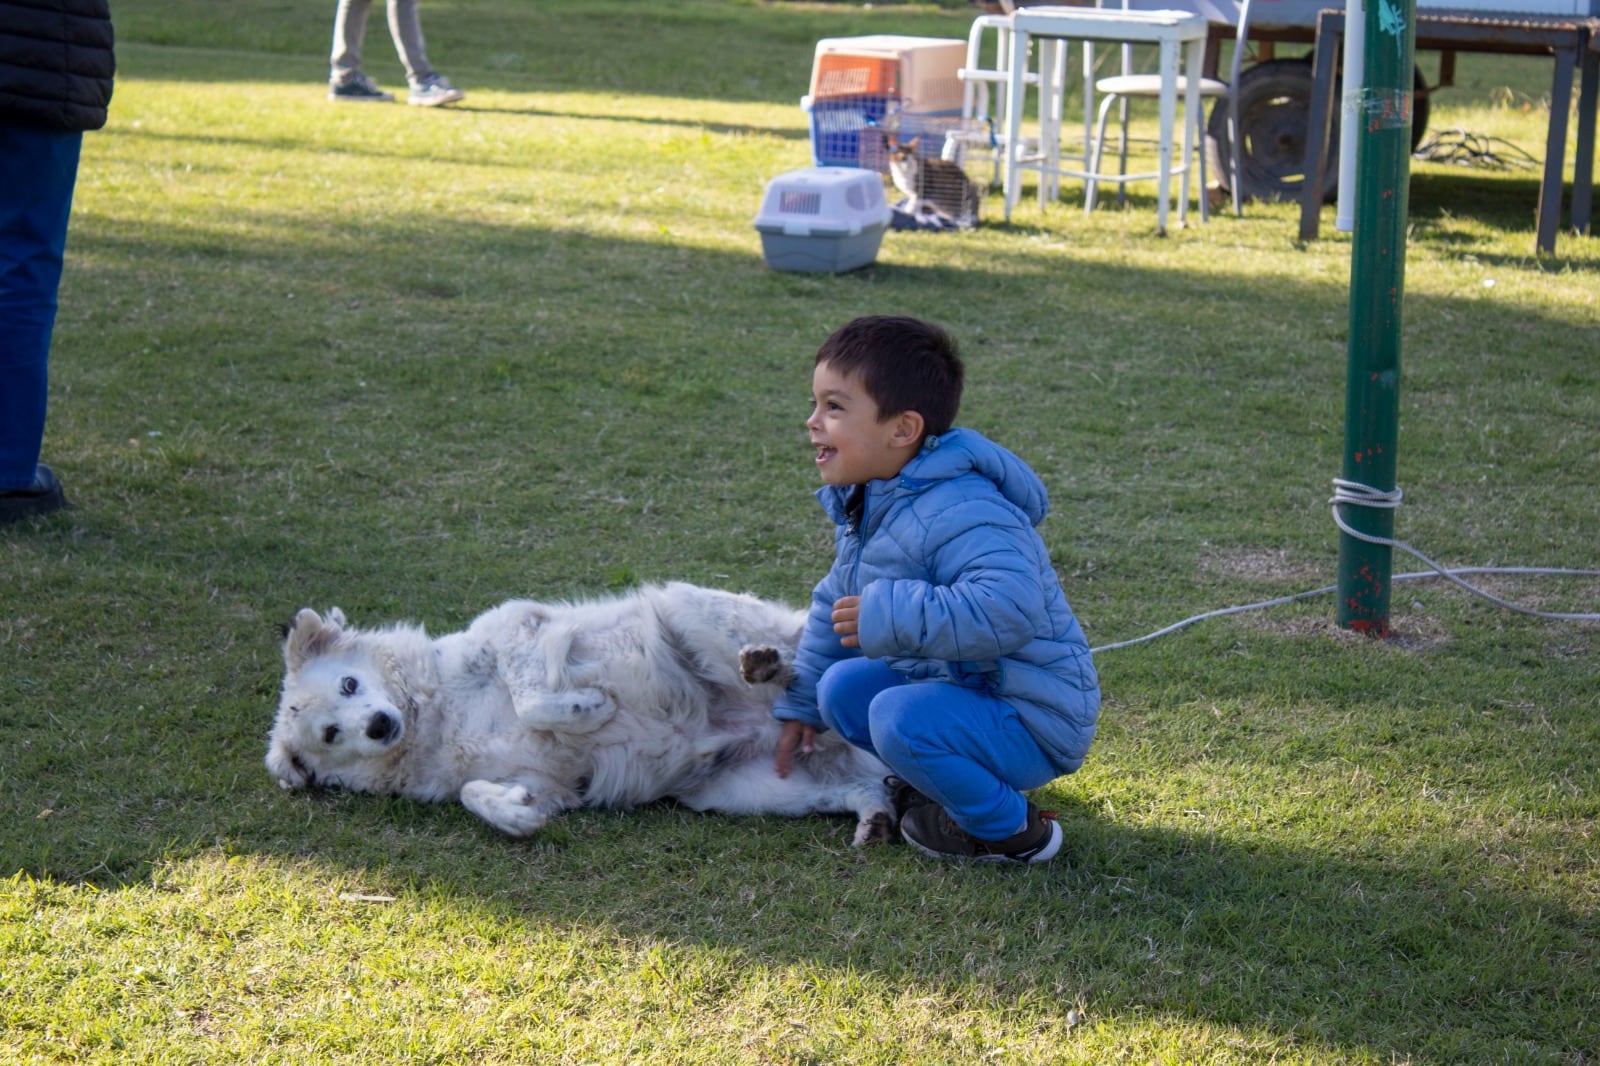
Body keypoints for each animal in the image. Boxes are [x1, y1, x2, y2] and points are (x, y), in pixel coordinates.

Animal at [272, 576, 902, 845]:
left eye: (350, 683)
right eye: (331, 734)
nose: (379, 727)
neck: (434, 714)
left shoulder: (517, 624)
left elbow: (531, 698)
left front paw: (588, 706)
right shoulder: (548, 782)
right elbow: (477, 793)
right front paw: (515, 816)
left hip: (688, 607)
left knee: (805, 662)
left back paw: (773, 668)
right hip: (740, 791)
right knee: (856, 789)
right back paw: (873, 816)